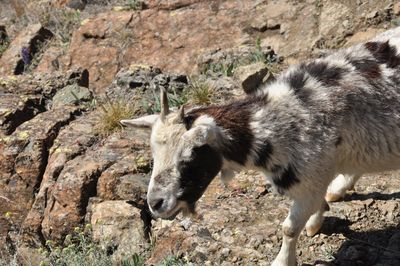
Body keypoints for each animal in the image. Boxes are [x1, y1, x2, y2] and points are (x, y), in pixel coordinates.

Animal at [121, 29, 400, 266]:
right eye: (154, 155)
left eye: (189, 156)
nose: (155, 204)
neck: (277, 122)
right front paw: (316, 220)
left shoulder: (310, 178)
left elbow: (289, 228)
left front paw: (283, 260)